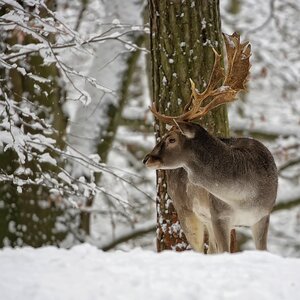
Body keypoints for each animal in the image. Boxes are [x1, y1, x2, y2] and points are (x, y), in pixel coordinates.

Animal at [144, 32, 278, 253]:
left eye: (171, 138)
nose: (147, 158)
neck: (244, 198)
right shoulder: (219, 215)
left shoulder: (263, 214)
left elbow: (262, 250)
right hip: (186, 211)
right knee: (201, 249)